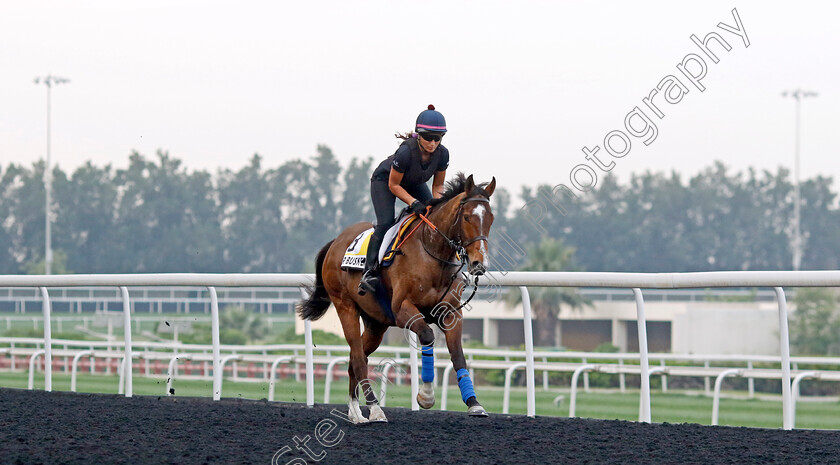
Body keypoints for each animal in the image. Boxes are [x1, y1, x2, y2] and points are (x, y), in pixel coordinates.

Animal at [296, 172, 496, 422]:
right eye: (468, 217)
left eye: (490, 219)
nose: (479, 263)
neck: (431, 253)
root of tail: (336, 242)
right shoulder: (403, 310)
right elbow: (428, 336)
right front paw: (426, 396)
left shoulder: (450, 313)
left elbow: (458, 355)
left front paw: (474, 403)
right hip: (345, 307)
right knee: (358, 358)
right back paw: (374, 408)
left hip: (376, 323)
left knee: (355, 358)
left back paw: (355, 411)